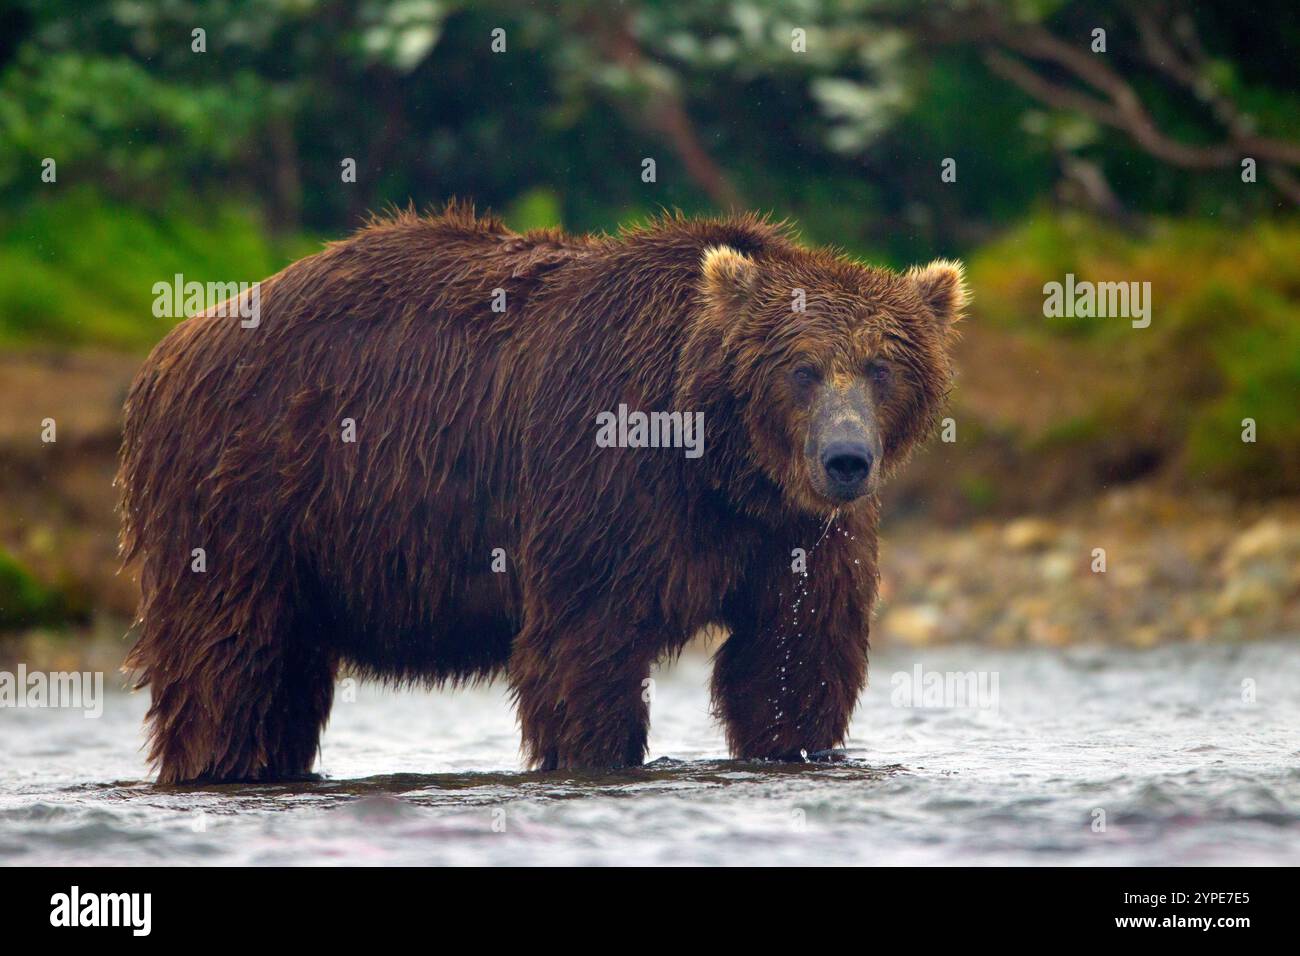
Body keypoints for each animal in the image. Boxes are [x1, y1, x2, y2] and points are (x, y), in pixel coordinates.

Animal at [116, 204, 961, 785]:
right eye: (801, 368)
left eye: (883, 366)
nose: (845, 460)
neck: (719, 463)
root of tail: (171, 347)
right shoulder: (602, 478)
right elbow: (585, 645)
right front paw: (599, 755)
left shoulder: (793, 535)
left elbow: (795, 654)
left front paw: (796, 747)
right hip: (248, 492)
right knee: (231, 662)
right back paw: (222, 763)